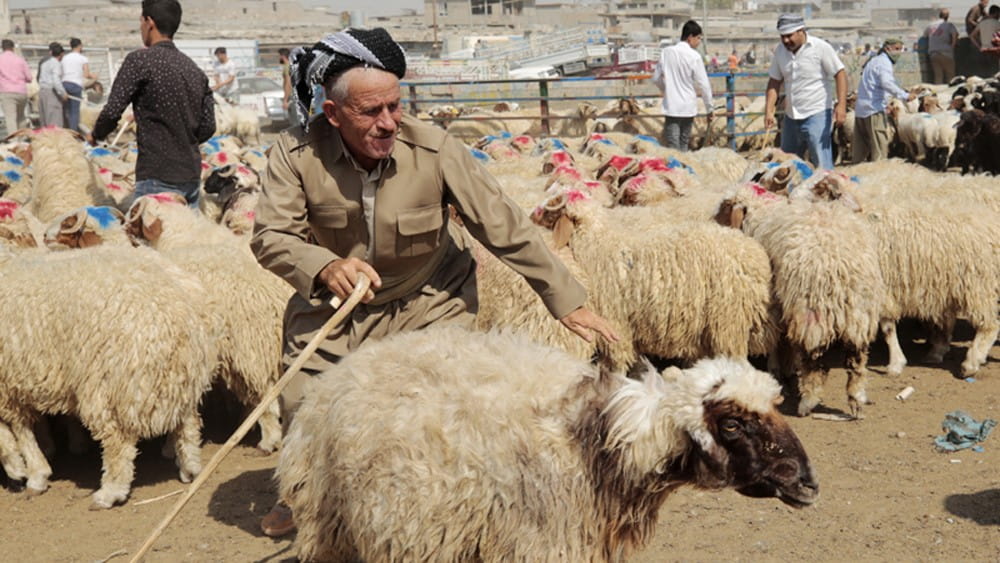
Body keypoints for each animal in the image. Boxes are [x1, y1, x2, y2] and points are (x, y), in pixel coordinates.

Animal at [0, 246, 217, 506]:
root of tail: (177, 309)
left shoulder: (6, 384)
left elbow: (15, 430)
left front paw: (26, 472)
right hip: (182, 378)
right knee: (189, 422)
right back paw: (190, 469)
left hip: (107, 384)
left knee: (118, 440)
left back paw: (110, 493)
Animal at [278, 326, 816, 563]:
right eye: (732, 424)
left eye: (775, 405)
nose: (809, 483)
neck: (601, 437)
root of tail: (329, 381)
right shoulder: (541, 543)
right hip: (331, 528)